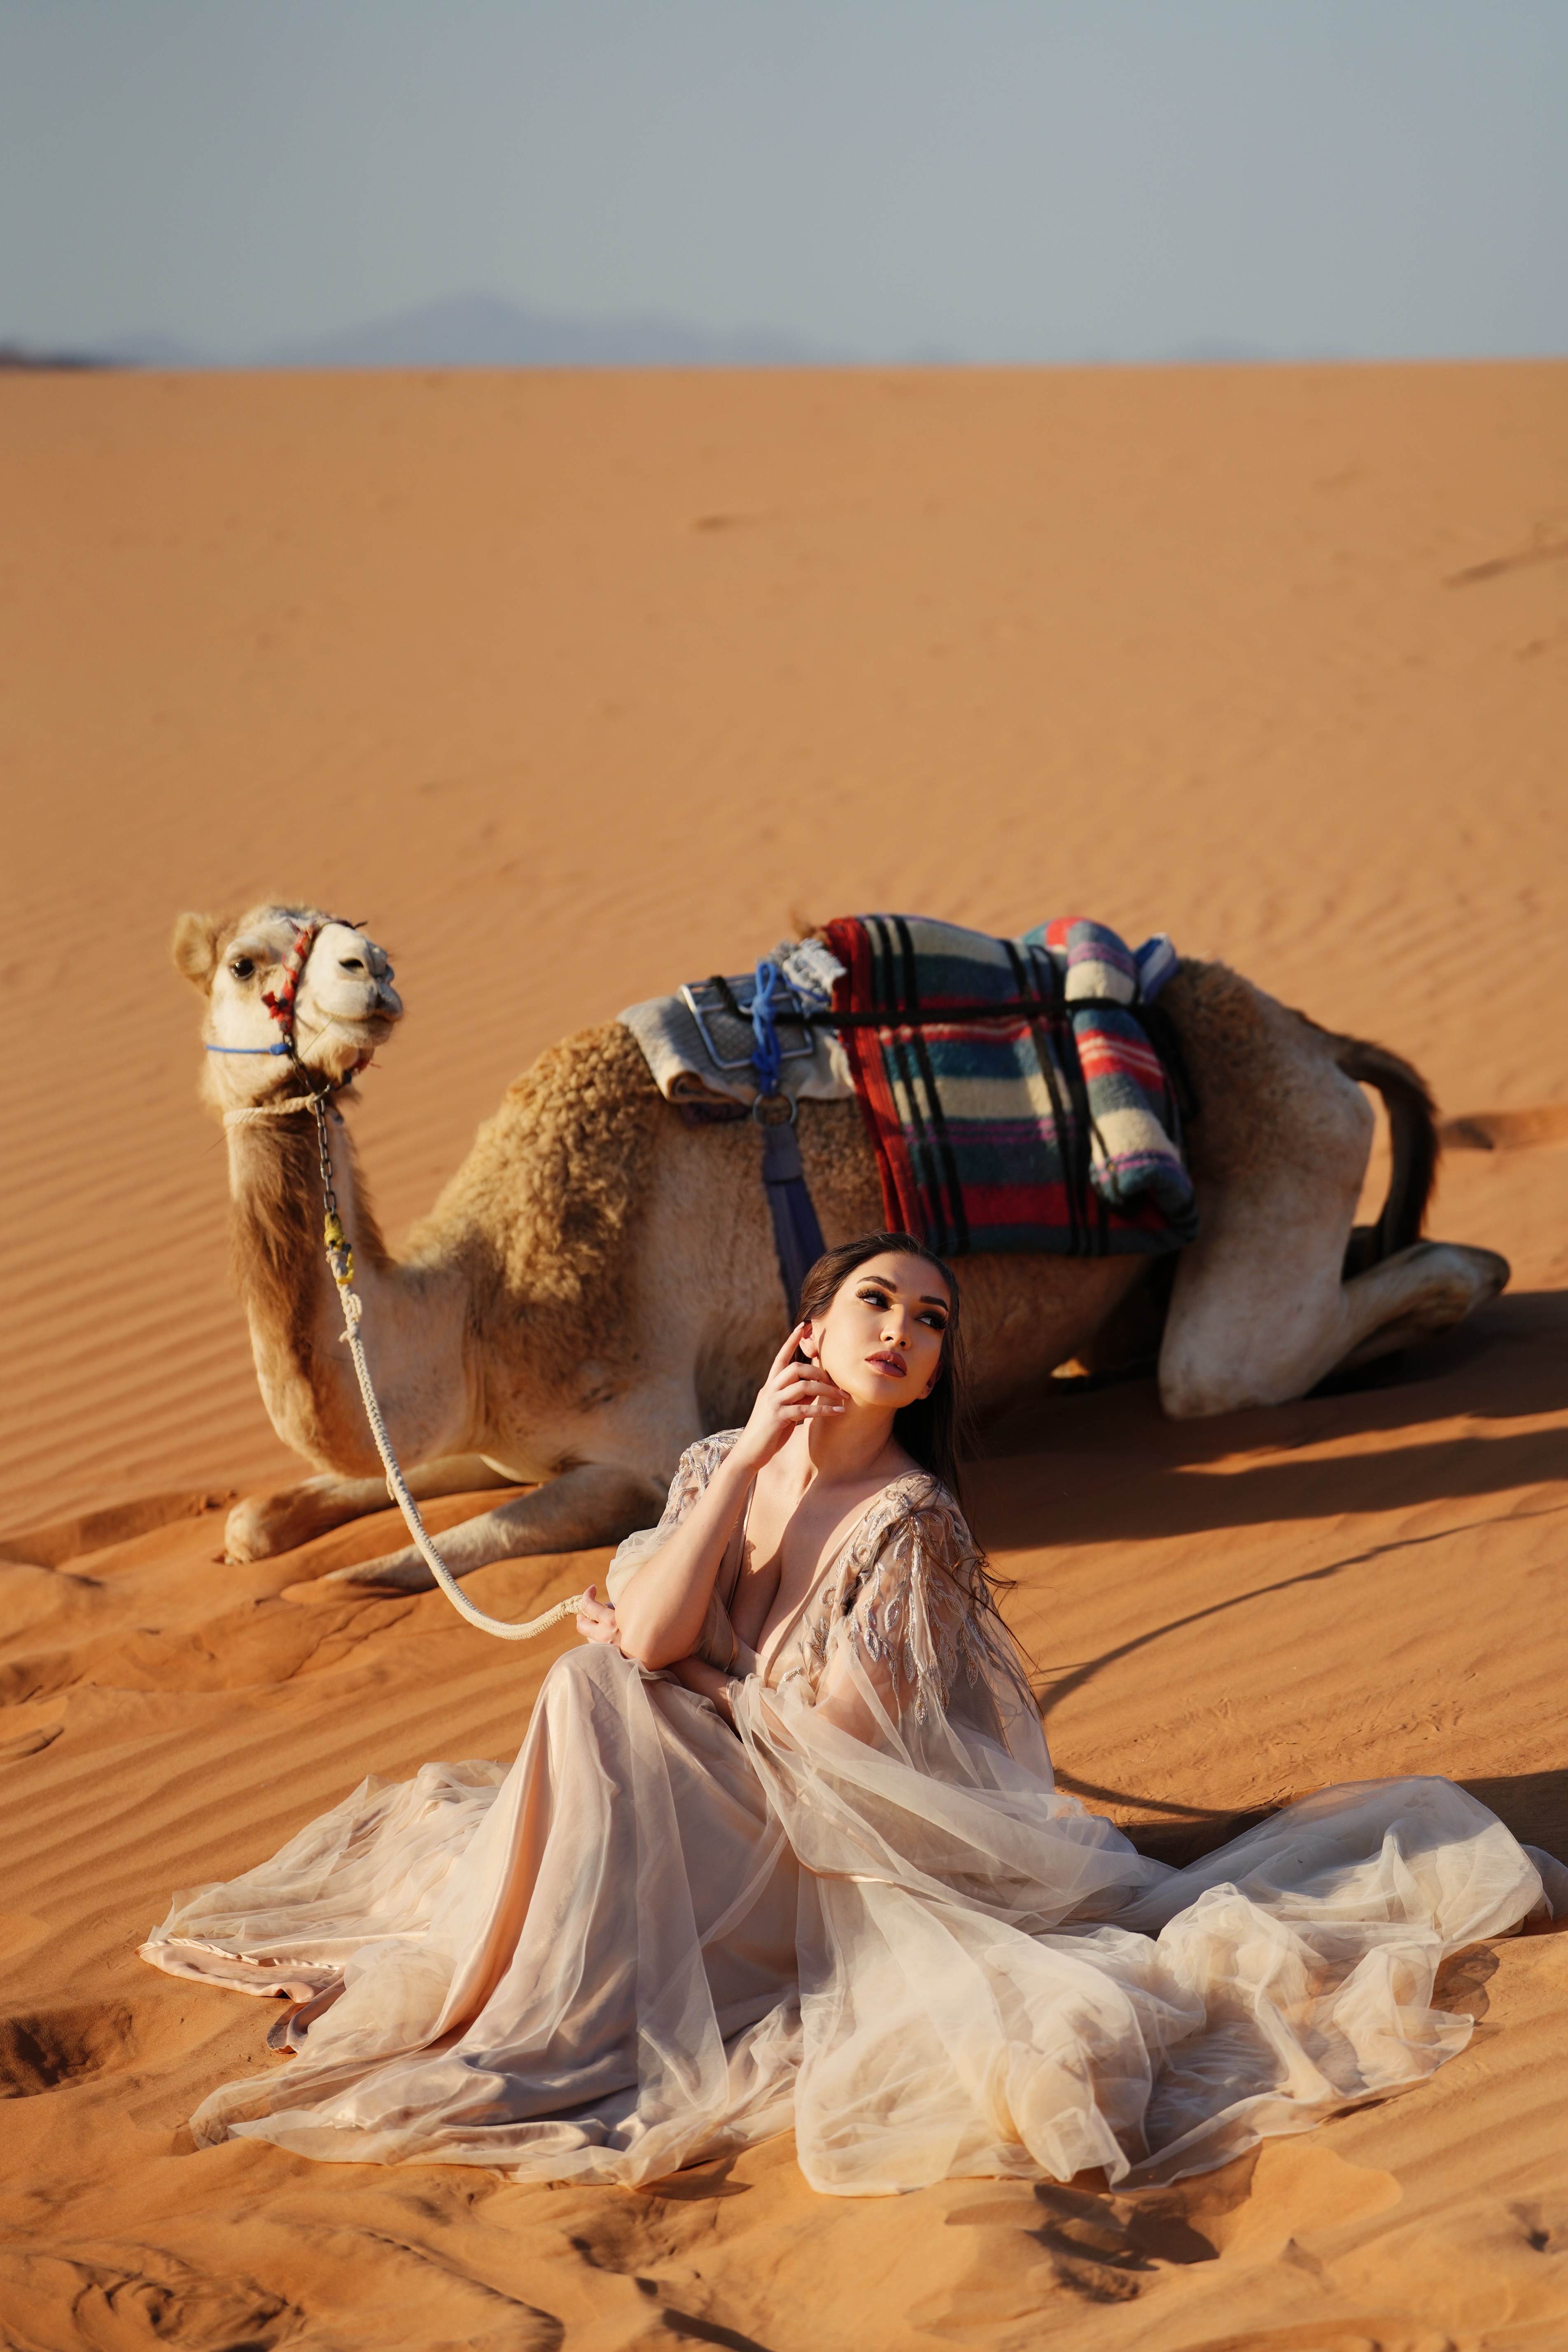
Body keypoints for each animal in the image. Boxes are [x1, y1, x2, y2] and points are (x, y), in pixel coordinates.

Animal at [175, 902, 1508, 1594]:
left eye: (351, 935)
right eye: (245, 960)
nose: (370, 974)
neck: (474, 1304)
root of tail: (1313, 1032)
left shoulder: (635, 1443)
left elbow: (455, 1545)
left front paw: (348, 1581)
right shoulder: (485, 1437)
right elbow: (282, 1513)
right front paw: (278, 1534)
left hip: (1285, 1138)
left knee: (1240, 1364)